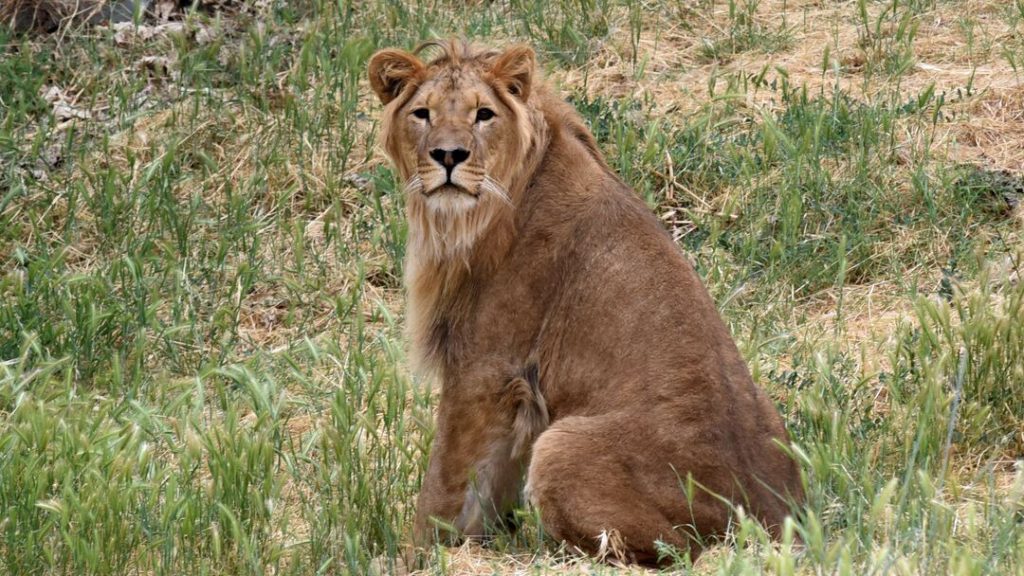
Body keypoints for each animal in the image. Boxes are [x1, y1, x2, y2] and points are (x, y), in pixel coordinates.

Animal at [368, 41, 806, 565]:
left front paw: (416, 556)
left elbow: (444, 483)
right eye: (422, 114)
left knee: (674, 550)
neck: (465, 221)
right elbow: (485, 485)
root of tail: (775, 522)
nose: (448, 155)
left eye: (483, 114)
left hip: (561, 446)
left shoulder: (485, 368)